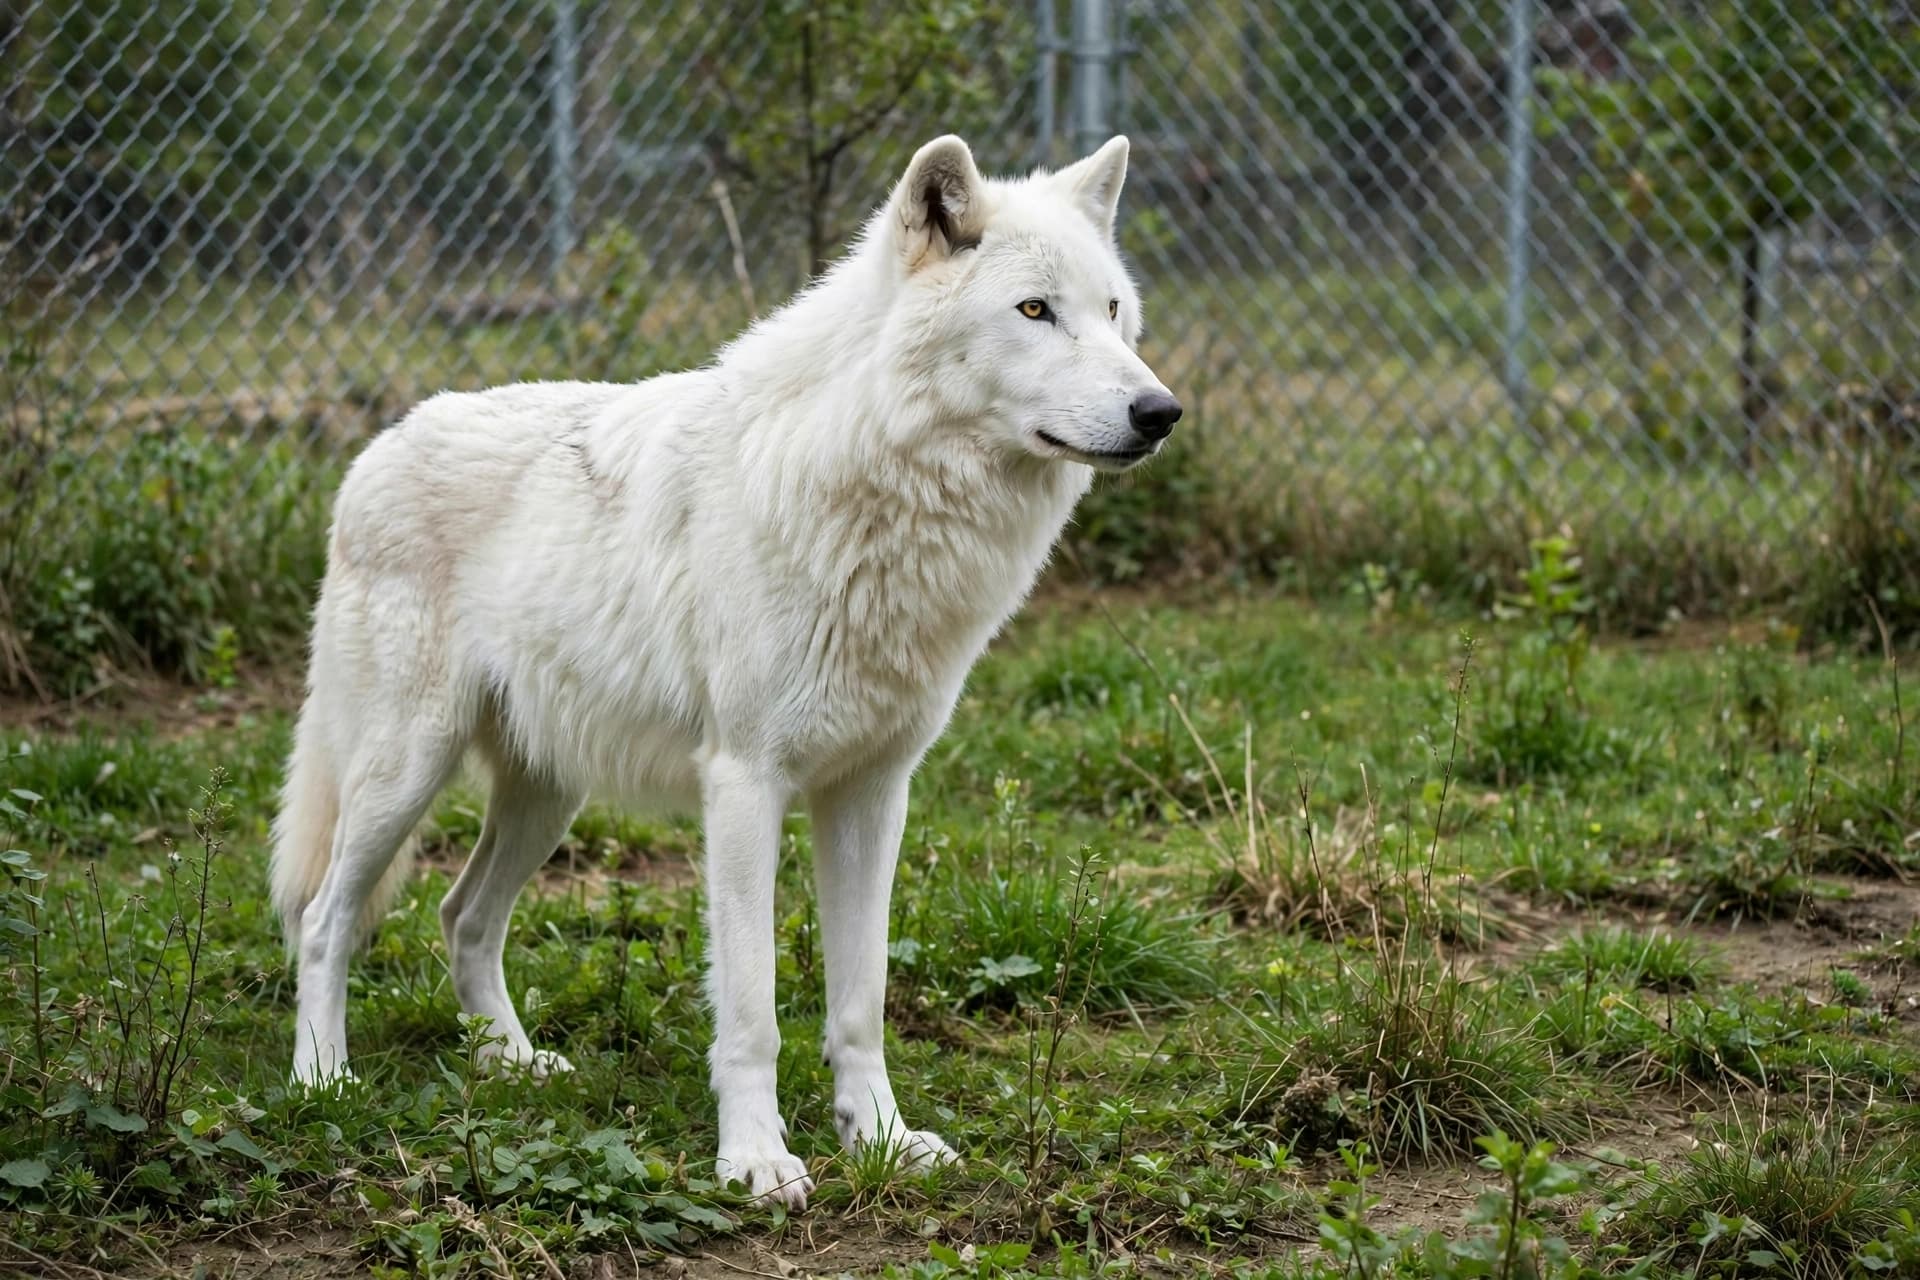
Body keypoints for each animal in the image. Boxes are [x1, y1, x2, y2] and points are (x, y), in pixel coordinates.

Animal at [270, 133, 1180, 1207]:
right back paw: (321, 1081)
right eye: (1035, 311)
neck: (876, 494)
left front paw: (880, 1140)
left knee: (462, 915)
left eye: (1113, 311)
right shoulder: (745, 784)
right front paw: (755, 1158)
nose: (1161, 410)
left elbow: (861, 1000)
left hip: (547, 797)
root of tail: (372, 450)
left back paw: (513, 1062)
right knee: (324, 918)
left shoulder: (874, 792)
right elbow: (751, 1007)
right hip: (403, 774)